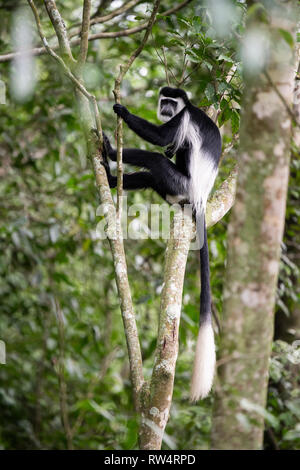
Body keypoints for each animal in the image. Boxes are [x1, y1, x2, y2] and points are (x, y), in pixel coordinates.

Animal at [104, 85, 221, 400]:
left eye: (171, 102)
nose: (166, 109)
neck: (187, 107)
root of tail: (199, 197)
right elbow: (168, 146)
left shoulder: (183, 119)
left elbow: (161, 138)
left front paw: (122, 111)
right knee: (150, 173)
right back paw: (112, 180)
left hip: (181, 183)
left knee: (155, 160)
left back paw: (110, 155)